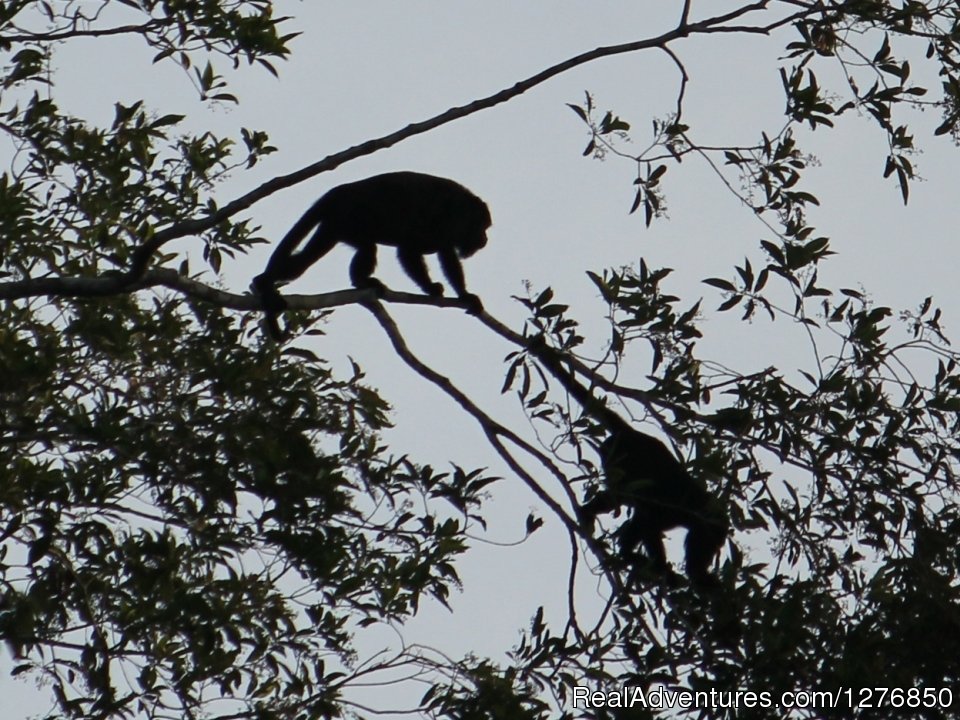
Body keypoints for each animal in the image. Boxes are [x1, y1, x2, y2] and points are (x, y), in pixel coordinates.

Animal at [251, 172, 492, 338]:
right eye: (482, 227)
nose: (485, 239)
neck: (460, 209)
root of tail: (338, 192)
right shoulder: (443, 219)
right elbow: (409, 250)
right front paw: (432, 288)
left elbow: (447, 256)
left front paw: (465, 295)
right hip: (346, 218)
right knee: (361, 249)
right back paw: (262, 283)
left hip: (336, 225)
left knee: (313, 259)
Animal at [532, 344, 728, 584]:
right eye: (712, 542)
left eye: (717, 545)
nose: (714, 553)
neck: (696, 505)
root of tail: (630, 433)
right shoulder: (671, 510)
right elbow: (647, 524)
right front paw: (664, 569)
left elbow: (640, 522)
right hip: (617, 458)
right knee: (619, 495)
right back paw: (589, 514)